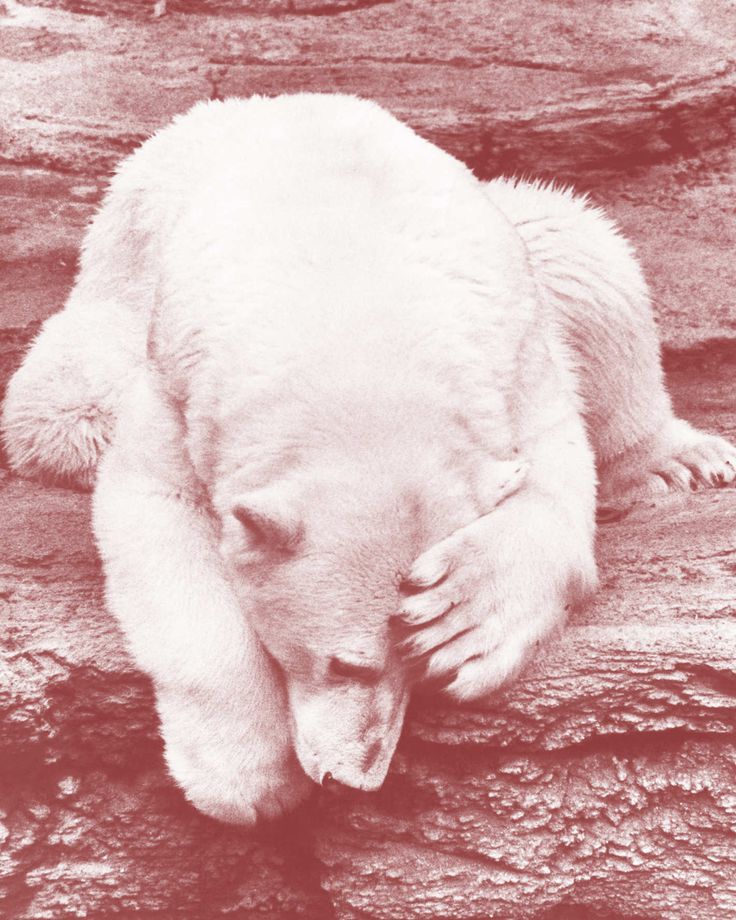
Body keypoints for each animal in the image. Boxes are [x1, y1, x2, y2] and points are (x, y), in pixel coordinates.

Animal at [2, 93, 735, 824]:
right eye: (343, 664)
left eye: (418, 666)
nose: (350, 782)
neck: (357, 293)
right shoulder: (182, 379)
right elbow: (156, 503)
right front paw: (249, 782)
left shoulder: (515, 352)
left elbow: (555, 469)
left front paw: (464, 614)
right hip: (109, 300)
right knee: (65, 402)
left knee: (579, 244)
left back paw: (679, 460)